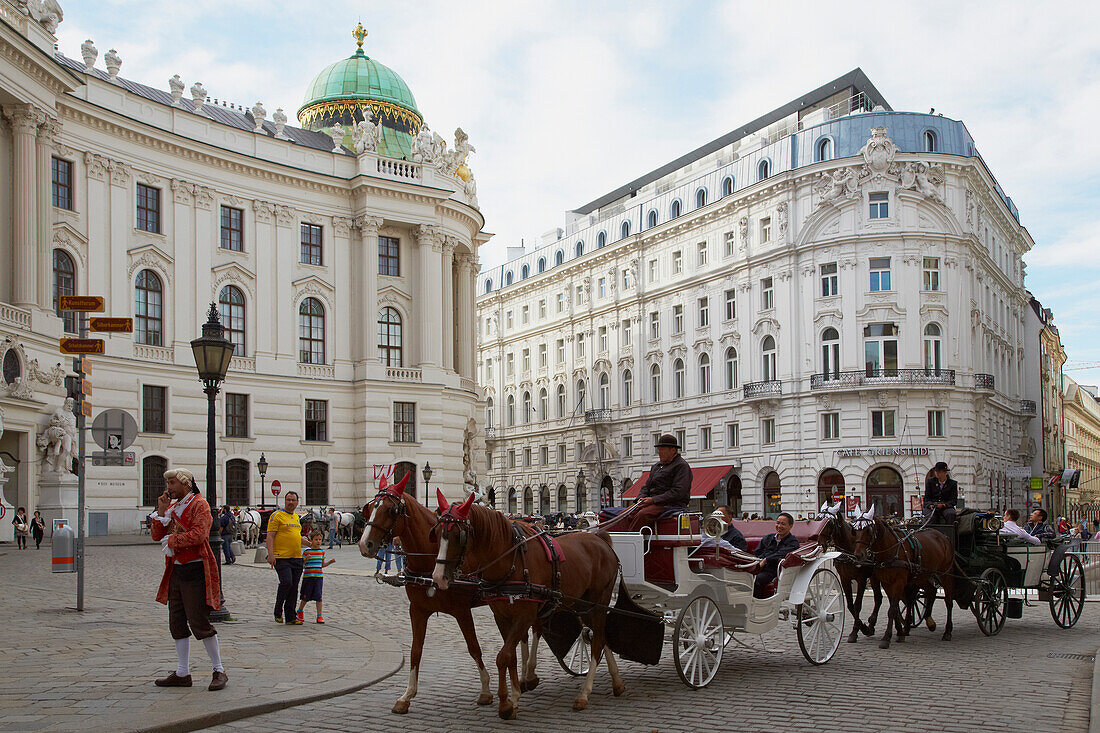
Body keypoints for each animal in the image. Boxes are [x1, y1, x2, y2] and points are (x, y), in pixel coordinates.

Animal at [356, 473, 495, 713]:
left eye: (391, 510)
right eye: (371, 507)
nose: (365, 544)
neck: (432, 560)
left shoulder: (462, 611)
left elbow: (474, 647)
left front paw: (485, 690)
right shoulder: (418, 610)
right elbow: (416, 650)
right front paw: (406, 696)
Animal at [437, 488, 629, 717]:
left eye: (459, 536)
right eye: (436, 532)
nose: (438, 577)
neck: (510, 560)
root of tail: (601, 540)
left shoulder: (524, 615)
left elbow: (503, 656)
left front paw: (507, 702)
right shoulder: (501, 616)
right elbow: (510, 655)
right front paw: (513, 696)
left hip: (598, 602)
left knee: (598, 641)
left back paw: (584, 694)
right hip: (582, 605)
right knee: (600, 636)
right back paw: (617, 682)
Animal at [849, 512, 972, 647]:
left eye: (868, 530)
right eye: (855, 531)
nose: (858, 555)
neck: (891, 550)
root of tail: (944, 536)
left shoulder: (898, 581)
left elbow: (892, 609)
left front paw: (886, 637)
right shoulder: (886, 582)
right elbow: (896, 607)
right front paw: (900, 632)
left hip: (945, 574)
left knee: (948, 601)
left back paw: (947, 631)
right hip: (922, 575)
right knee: (928, 592)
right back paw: (927, 622)